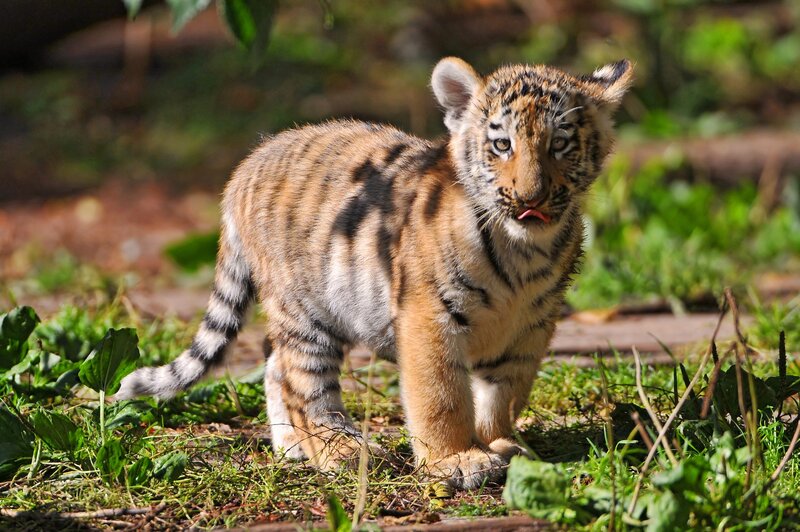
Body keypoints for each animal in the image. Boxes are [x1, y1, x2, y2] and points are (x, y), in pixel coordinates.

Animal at [117, 57, 632, 489]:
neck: (524, 249)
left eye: (559, 145)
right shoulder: (430, 314)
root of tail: (246, 164)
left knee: (273, 364)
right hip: (305, 311)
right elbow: (441, 394)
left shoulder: (532, 325)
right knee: (303, 383)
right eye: (502, 144)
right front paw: (456, 460)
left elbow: (505, 392)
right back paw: (338, 449)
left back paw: (292, 447)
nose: (531, 198)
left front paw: (501, 443)